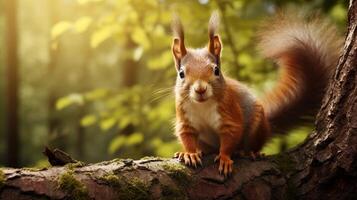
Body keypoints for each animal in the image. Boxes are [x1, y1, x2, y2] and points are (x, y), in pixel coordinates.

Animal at [171, 11, 340, 176]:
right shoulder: (184, 118)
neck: (203, 105)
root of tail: (267, 125)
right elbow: (187, 137)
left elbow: (229, 139)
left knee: (253, 145)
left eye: (216, 70)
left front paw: (225, 158)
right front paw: (190, 153)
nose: (200, 89)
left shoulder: (229, 113)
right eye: (181, 74)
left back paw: (249, 153)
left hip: (256, 127)